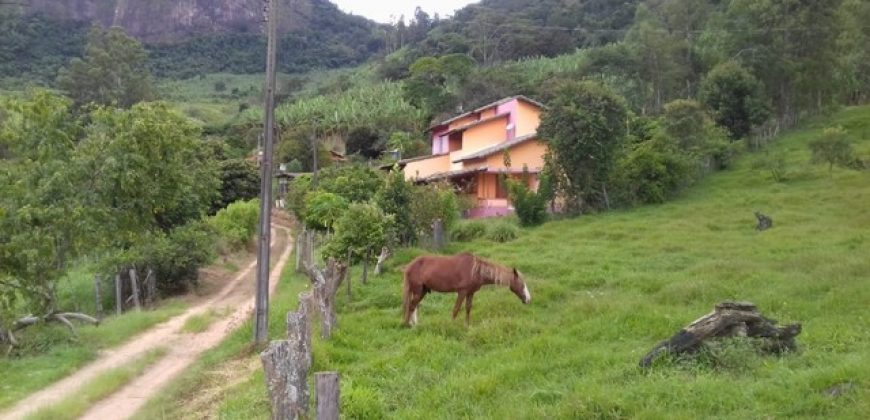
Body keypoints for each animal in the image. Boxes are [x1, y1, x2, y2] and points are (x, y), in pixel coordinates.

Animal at [404, 251, 532, 326]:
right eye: (522, 284)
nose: (528, 299)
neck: (475, 271)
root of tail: (409, 266)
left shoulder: (470, 292)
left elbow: (468, 308)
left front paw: (467, 325)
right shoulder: (462, 292)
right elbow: (456, 309)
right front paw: (452, 326)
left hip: (423, 291)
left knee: (414, 306)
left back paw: (415, 324)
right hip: (418, 291)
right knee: (411, 306)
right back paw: (408, 325)